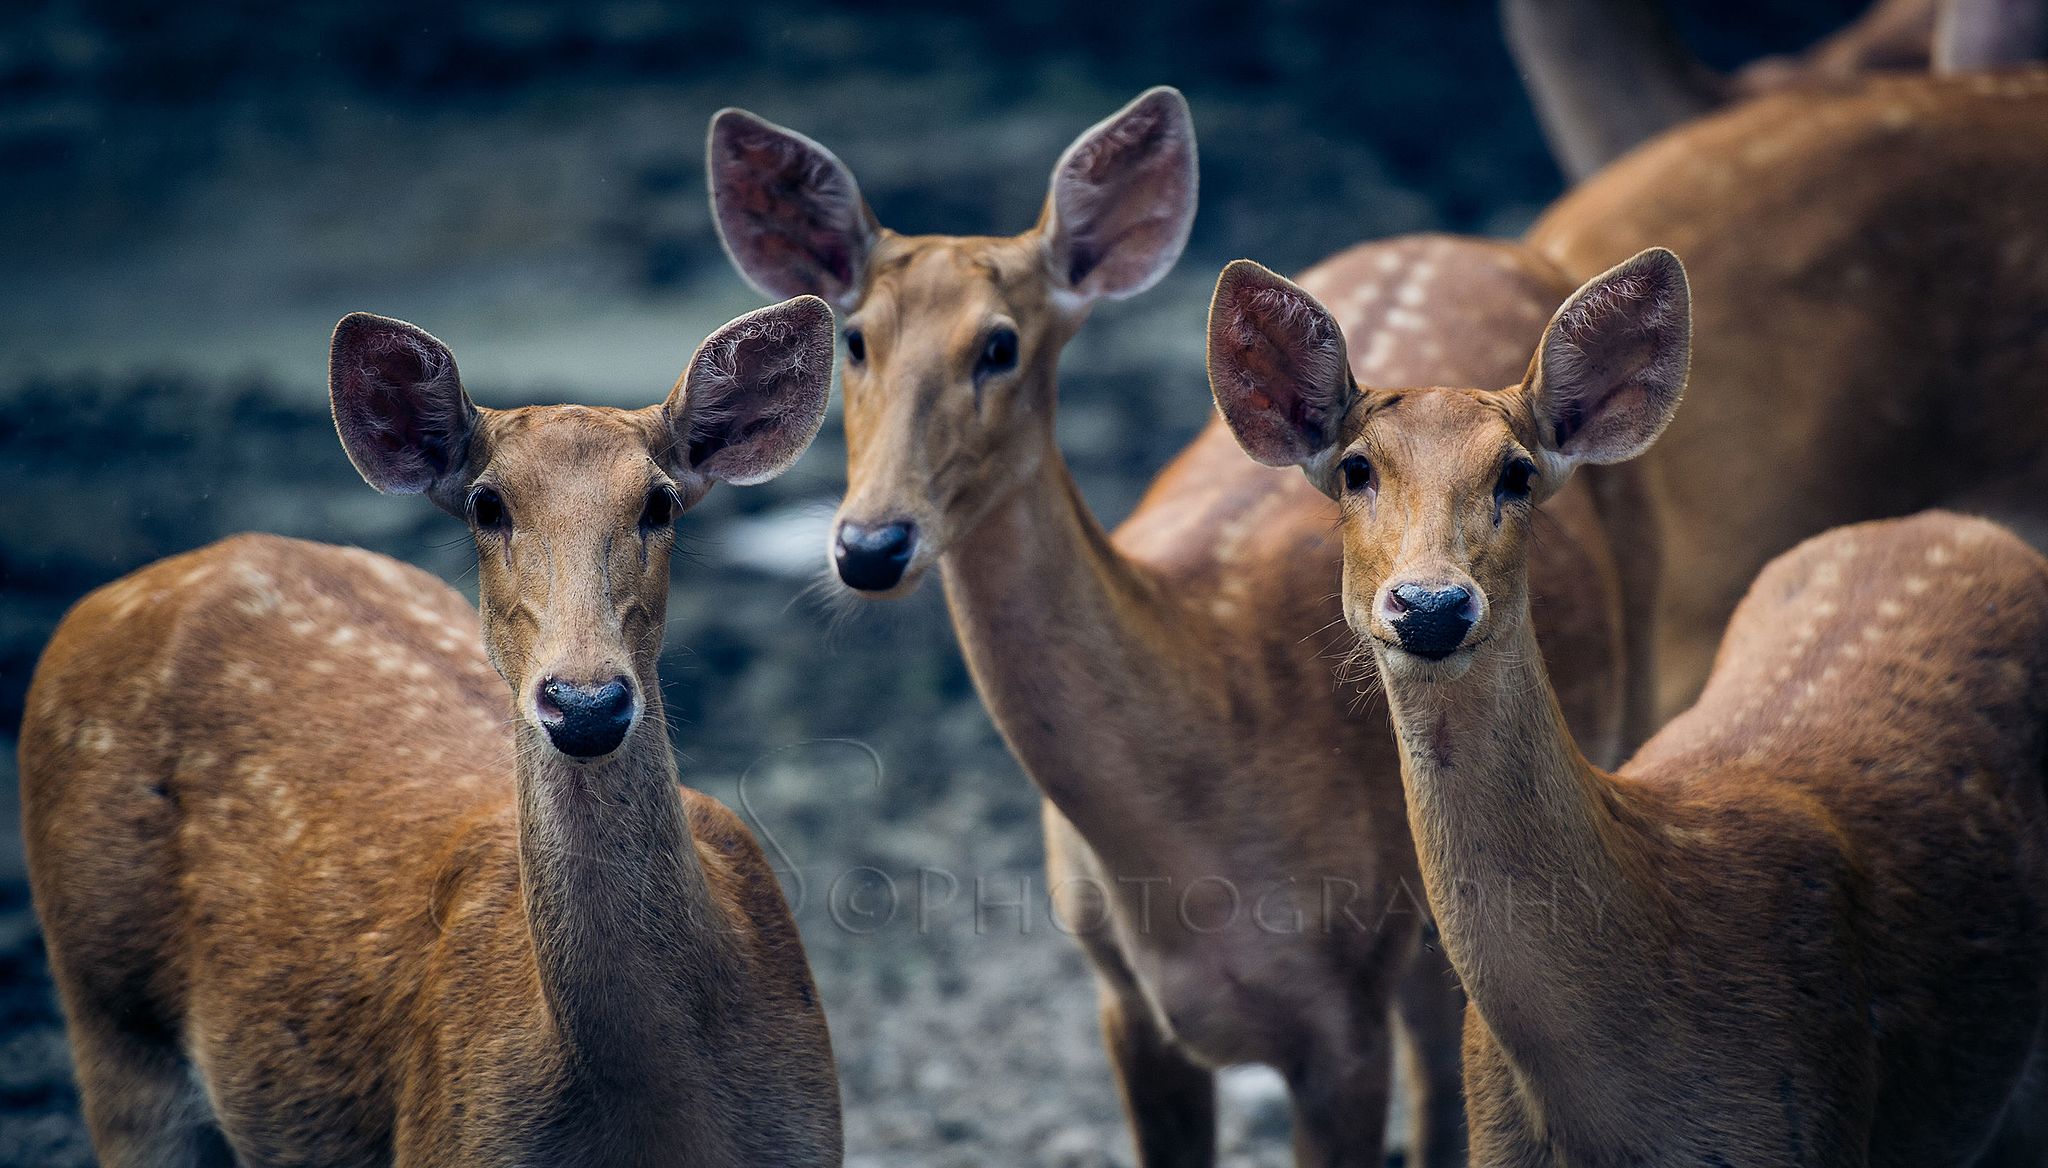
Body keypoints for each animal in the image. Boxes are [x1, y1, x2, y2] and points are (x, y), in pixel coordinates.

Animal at [17, 297, 844, 1166]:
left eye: (658, 502)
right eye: (488, 504)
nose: (584, 701)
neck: (657, 1115)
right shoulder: (446, 1134)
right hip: (109, 1022)